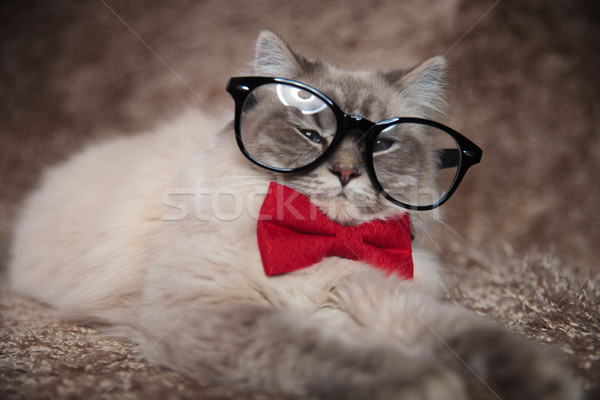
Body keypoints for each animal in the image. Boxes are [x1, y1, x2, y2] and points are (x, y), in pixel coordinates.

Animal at [9, 29, 580, 398]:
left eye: (382, 144)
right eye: (310, 134)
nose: (346, 172)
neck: (319, 239)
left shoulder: (373, 289)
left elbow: (463, 334)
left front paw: (541, 379)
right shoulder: (217, 312)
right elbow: (314, 352)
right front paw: (423, 383)